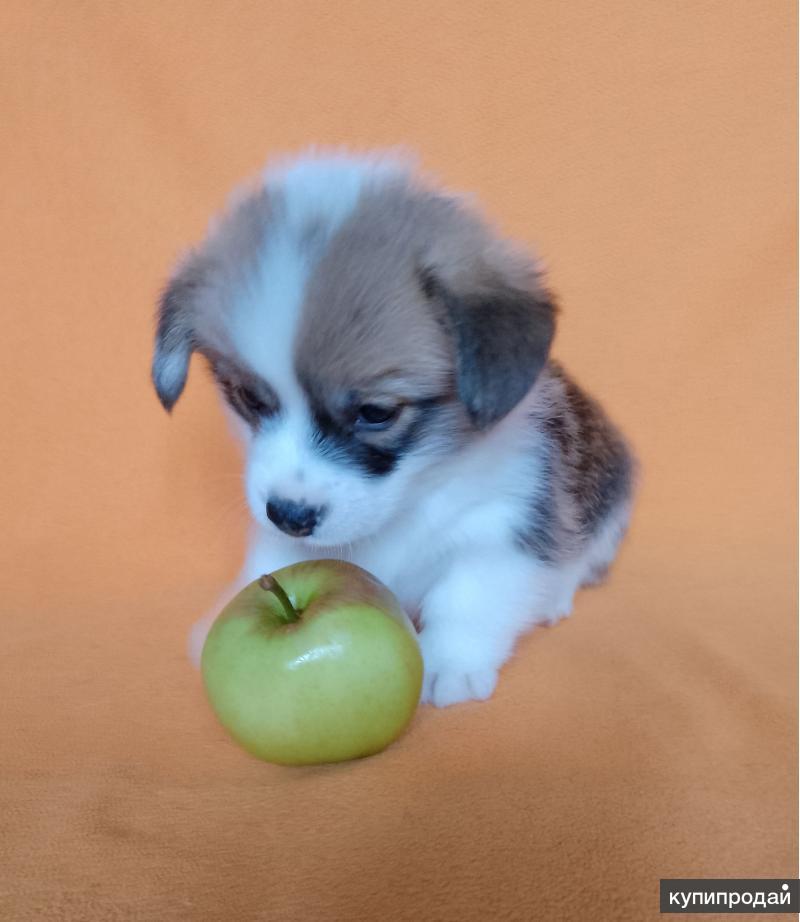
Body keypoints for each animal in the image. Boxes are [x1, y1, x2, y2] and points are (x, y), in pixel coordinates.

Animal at [152, 150, 634, 707]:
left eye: (376, 412)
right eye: (249, 398)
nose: (291, 516)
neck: (409, 501)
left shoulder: (505, 526)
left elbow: (468, 597)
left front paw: (449, 662)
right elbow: (269, 563)